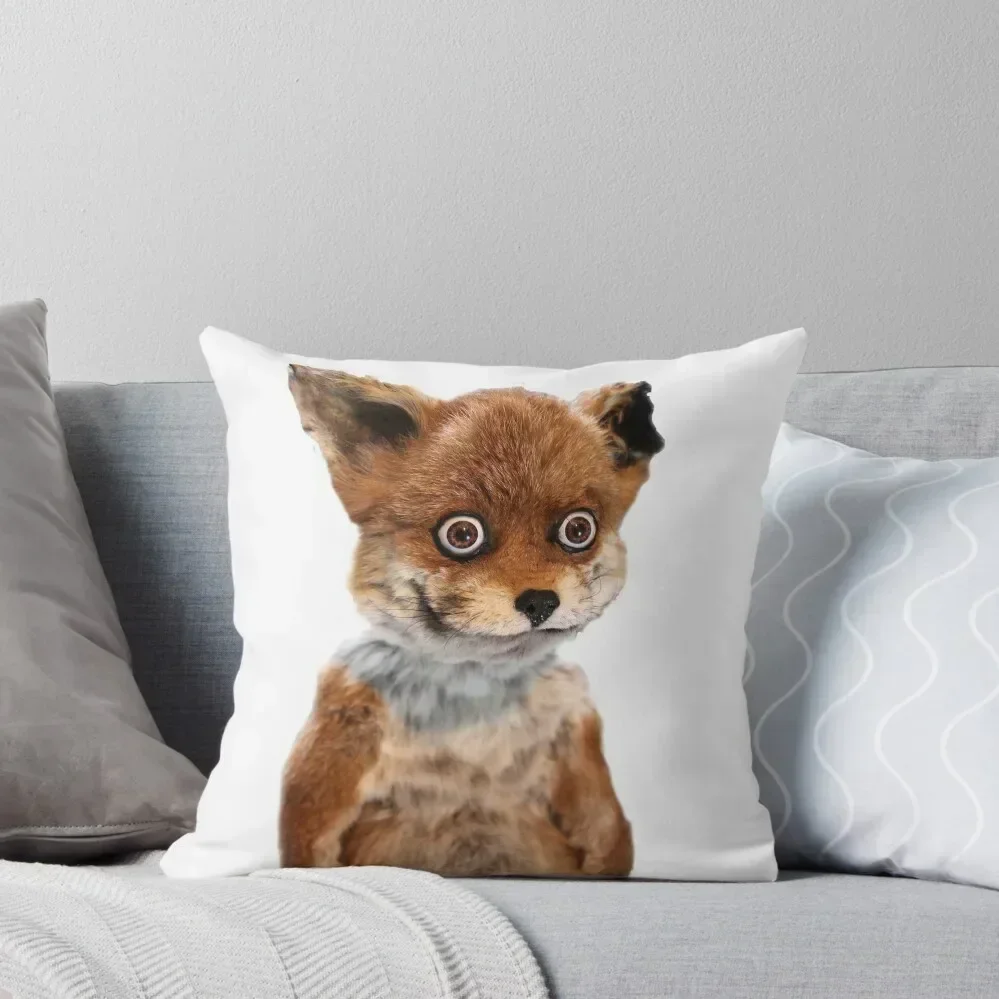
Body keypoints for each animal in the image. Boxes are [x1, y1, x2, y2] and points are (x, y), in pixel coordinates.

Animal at [279, 364, 664, 877]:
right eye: (462, 534)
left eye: (578, 529)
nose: (540, 602)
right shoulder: (336, 747)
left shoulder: (578, 745)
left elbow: (607, 842)